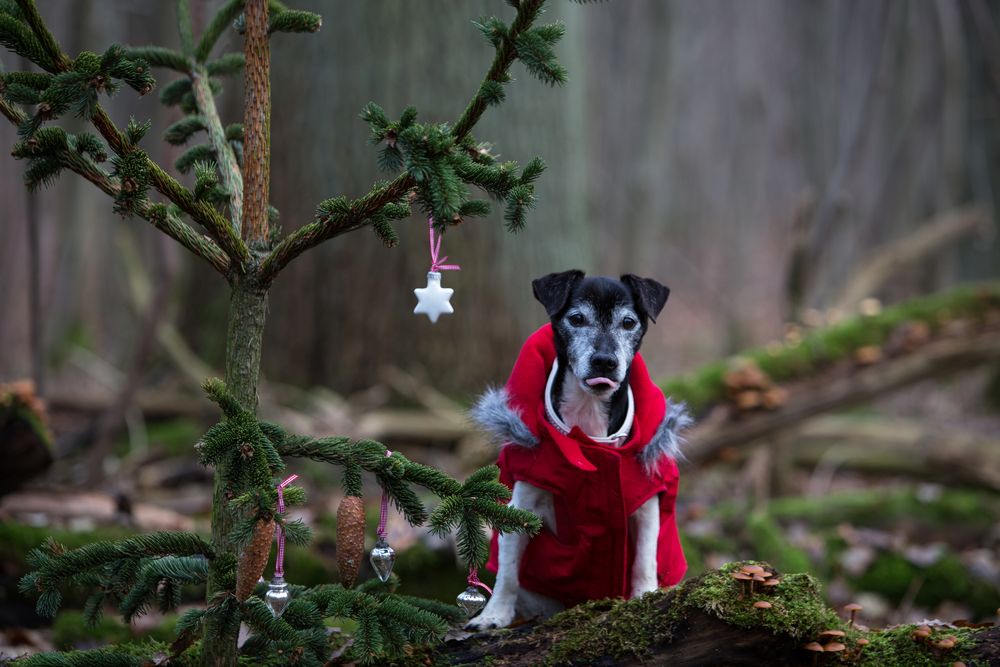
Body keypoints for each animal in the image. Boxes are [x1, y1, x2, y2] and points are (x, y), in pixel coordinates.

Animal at [466, 272, 688, 632]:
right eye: (576, 318)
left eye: (629, 322)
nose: (604, 361)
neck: (588, 420)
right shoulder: (523, 503)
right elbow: (509, 570)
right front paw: (494, 614)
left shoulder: (645, 504)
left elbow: (644, 561)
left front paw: (644, 599)